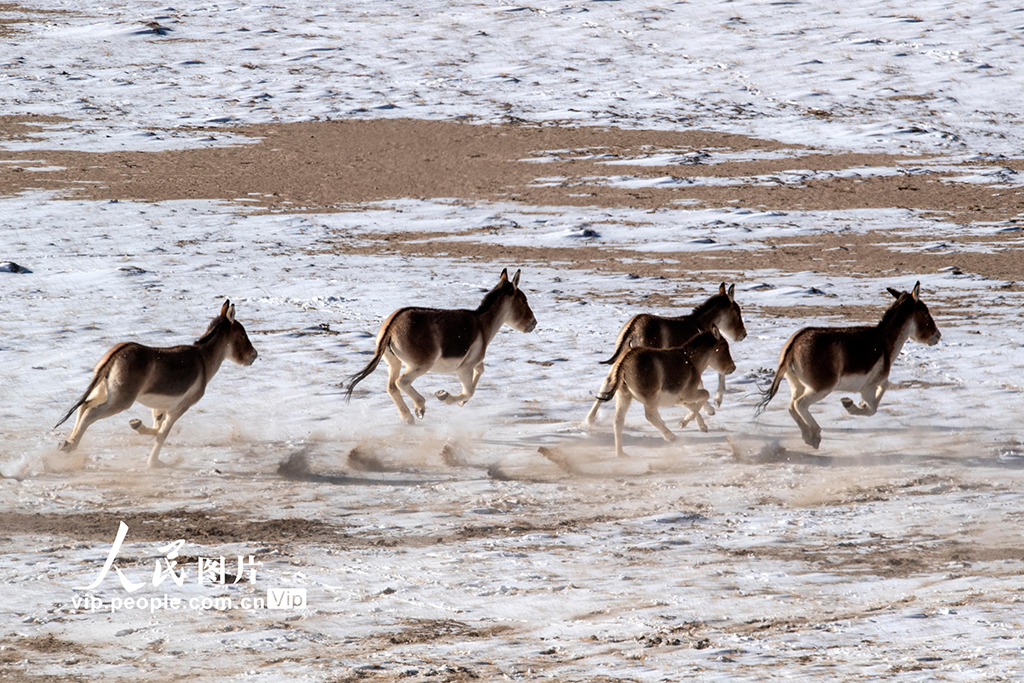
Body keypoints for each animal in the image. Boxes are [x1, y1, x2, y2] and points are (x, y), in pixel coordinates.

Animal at [54, 301, 258, 466]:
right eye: (242, 334)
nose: (254, 355)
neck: (203, 358)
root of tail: (117, 354)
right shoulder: (180, 407)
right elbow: (163, 433)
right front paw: (154, 462)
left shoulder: (159, 407)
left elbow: (157, 429)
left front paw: (137, 426)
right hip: (121, 401)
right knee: (90, 412)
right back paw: (71, 445)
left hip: (103, 393)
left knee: (84, 407)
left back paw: (68, 442)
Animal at [346, 268, 536, 421]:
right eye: (524, 300)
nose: (534, 323)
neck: (482, 324)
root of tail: (392, 326)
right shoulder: (464, 368)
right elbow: (469, 390)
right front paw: (445, 397)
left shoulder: (474, 363)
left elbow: (480, 372)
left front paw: (460, 402)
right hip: (421, 365)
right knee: (402, 382)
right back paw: (420, 406)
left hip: (394, 363)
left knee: (392, 387)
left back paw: (407, 417)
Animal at [589, 280, 749, 423]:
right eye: (737, 312)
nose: (744, 334)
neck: (700, 324)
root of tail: (633, 327)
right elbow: (716, 375)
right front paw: (714, 404)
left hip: (620, 362)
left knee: (607, 383)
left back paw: (590, 420)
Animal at [593, 327, 737, 458]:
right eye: (724, 347)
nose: (733, 368)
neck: (692, 362)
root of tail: (625, 360)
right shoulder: (688, 393)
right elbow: (705, 395)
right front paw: (683, 423)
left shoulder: (679, 398)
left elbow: (693, 406)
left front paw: (701, 426)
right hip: (649, 399)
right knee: (650, 416)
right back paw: (670, 436)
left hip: (624, 397)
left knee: (618, 421)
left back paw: (621, 454)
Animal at [757, 282, 937, 448]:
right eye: (925, 312)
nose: (938, 336)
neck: (885, 341)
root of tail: (794, 346)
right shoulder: (868, 388)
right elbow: (872, 409)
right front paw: (851, 405)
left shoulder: (877, 382)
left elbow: (884, 386)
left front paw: (857, 404)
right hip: (821, 388)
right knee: (799, 404)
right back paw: (815, 433)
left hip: (797, 386)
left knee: (791, 407)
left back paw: (808, 436)